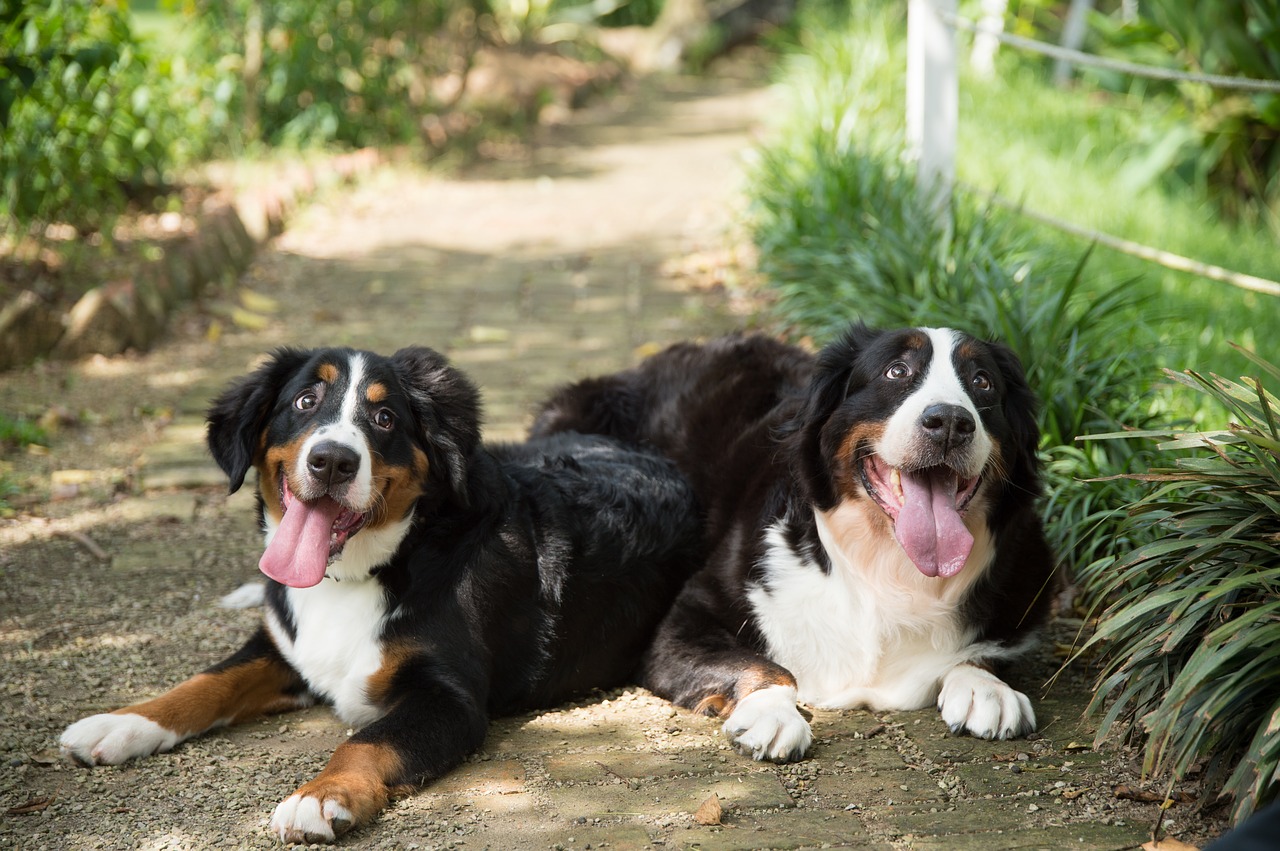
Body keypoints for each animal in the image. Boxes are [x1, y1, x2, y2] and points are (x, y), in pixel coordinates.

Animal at [57, 345, 701, 844]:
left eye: (386, 417)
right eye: (305, 402)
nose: (332, 461)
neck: (356, 577)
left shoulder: (447, 697)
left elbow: (366, 742)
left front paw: (321, 796)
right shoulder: (282, 647)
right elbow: (205, 682)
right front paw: (122, 723)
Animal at [532, 325, 1059, 762]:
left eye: (983, 382)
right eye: (897, 371)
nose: (949, 421)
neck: (887, 571)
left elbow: (984, 652)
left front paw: (985, 687)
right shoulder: (686, 617)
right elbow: (772, 668)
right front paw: (772, 715)